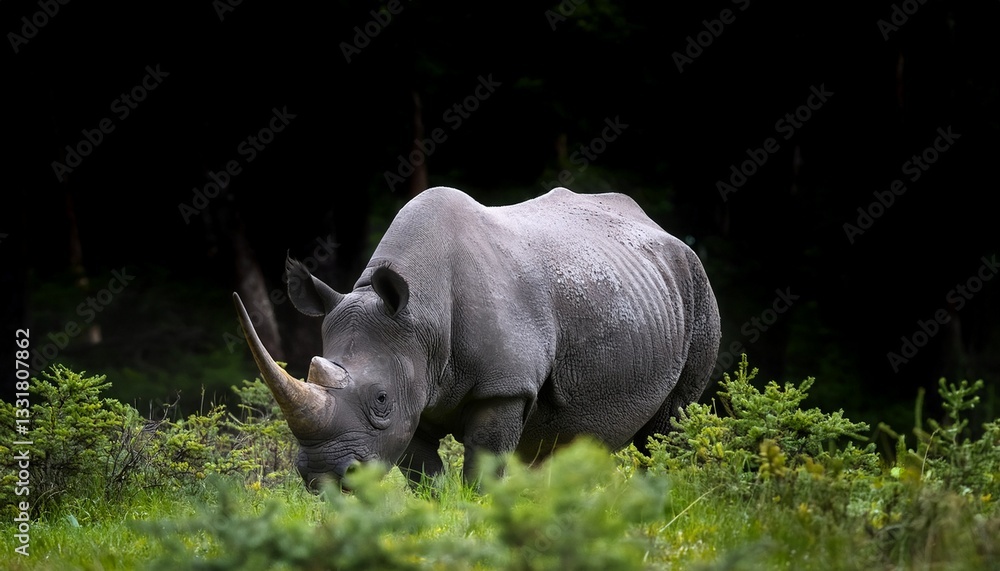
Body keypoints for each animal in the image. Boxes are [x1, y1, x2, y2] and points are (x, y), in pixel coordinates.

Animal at [233, 186, 720, 489]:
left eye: (380, 400)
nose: (323, 477)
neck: (422, 315)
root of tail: (664, 231)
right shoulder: (417, 384)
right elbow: (423, 472)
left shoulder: (503, 387)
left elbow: (483, 463)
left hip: (697, 286)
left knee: (669, 423)